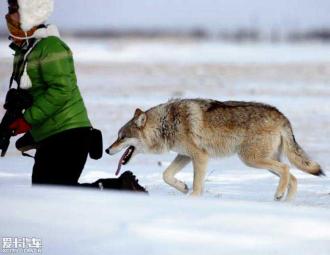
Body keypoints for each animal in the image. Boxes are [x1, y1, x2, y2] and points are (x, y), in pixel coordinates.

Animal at [105, 98, 322, 200]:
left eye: (121, 137)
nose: (107, 150)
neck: (166, 123)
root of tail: (282, 115)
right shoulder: (185, 155)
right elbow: (166, 175)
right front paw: (183, 187)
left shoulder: (200, 156)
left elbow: (197, 184)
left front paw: (192, 197)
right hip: (263, 162)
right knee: (293, 177)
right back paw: (286, 204)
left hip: (251, 160)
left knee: (287, 170)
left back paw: (279, 195)